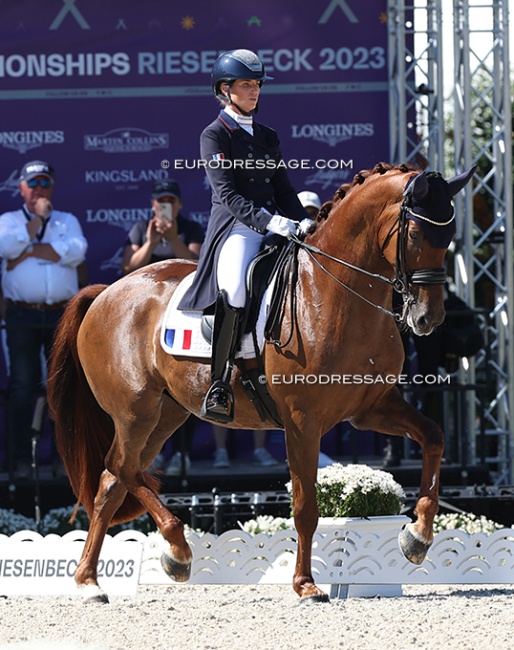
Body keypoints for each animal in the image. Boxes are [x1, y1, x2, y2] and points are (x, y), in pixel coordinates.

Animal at [46, 162, 474, 604]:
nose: (428, 318)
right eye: (415, 234)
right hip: (136, 413)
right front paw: (305, 585)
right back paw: (176, 551)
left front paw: (417, 538)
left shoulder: (371, 408)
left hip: (165, 416)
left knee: (112, 482)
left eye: (450, 237)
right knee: (121, 467)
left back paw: (91, 581)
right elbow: (304, 507)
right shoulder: (302, 422)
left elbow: (434, 437)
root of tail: (105, 292)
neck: (337, 293)